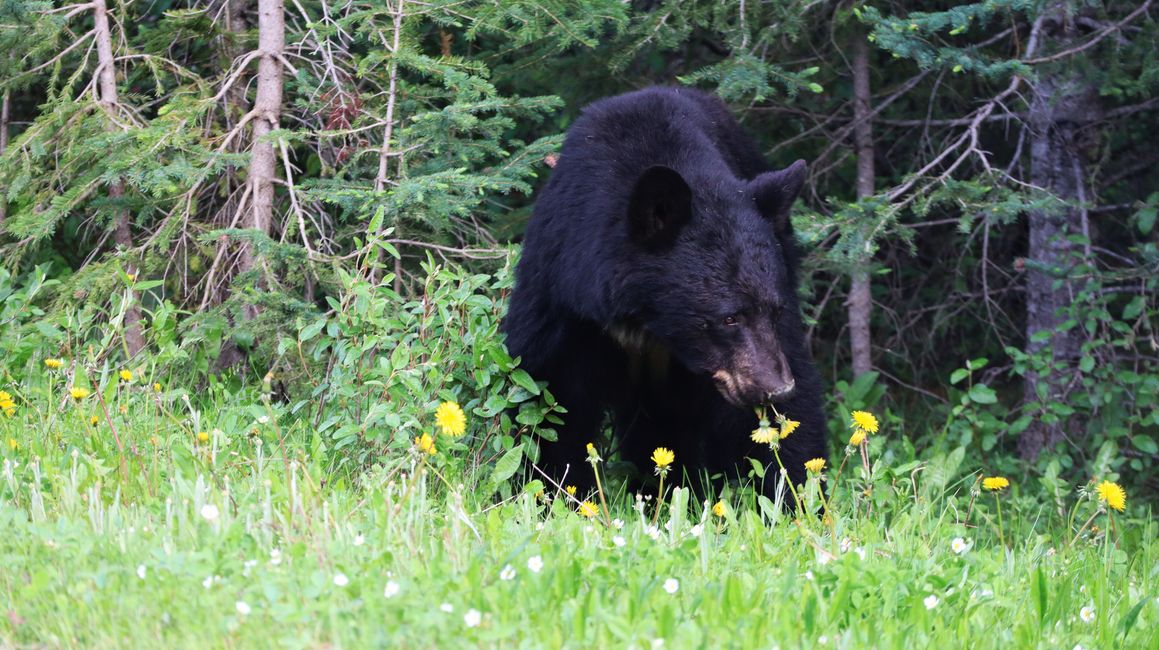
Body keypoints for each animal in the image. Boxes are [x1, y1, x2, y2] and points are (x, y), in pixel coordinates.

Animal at [503, 86, 827, 502]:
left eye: (774, 310)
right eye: (728, 316)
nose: (776, 389)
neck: (647, 321)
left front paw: (794, 497)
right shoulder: (564, 298)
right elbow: (551, 400)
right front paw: (556, 493)